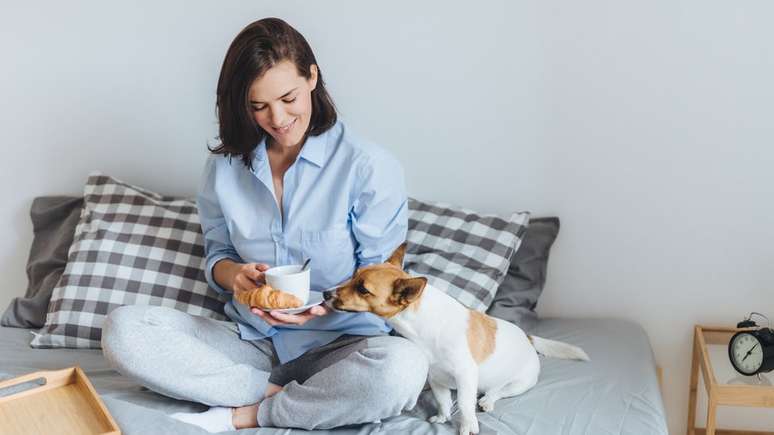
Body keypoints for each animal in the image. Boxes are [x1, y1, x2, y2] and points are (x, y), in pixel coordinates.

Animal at [324, 244, 592, 434]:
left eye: (363, 289)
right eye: (354, 274)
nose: (326, 293)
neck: (424, 322)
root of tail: (527, 337)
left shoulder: (465, 376)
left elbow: (463, 404)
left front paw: (467, 426)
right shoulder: (437, 379)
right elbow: (443, 402)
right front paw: (442, 418)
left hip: (521, 383)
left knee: (498, 392)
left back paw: (487, 401)